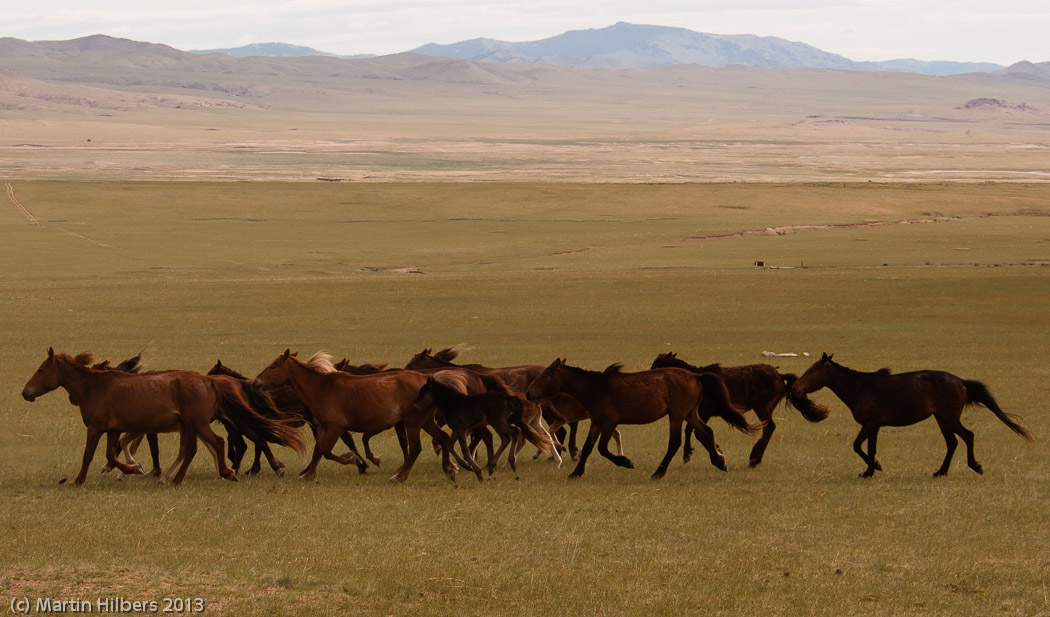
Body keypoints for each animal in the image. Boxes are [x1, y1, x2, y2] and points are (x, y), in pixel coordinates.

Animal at [22, 348, 304, 486]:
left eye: (41, 370)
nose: (26, 392)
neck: (94, 387)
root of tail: (209, 381)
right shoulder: (113, 429)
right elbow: (112, 454)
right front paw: (133, 469)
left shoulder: (96, 428)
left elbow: (90, 455)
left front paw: (78, 480)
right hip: (192, 425)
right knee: (194, 450)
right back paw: (178, 478)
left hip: (198, 423)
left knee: (219, 443)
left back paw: (225, 472)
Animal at [252, 350, 456, 482]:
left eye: (272, 367)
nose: (255, 383)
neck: (322, 388)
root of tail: (427, 380)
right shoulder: (323, 427)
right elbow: (318, 451)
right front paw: (308, 474)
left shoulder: (335, 427)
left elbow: (326, 451)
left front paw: (353, 459)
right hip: (426, 421)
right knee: (443, 437)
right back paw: (449, 468)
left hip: (413, 422)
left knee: (415, 448)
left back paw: (400, 476)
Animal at [525, 359, 761, 479]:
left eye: (545, 376)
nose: (528, 393)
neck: (595, 389)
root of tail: (696, 376)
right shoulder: (596, 422)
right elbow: (589, 447)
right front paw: (576, 472)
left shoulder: (609, 422)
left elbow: (602, 448)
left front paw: (626, 461)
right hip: (690, 413)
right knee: (706, 433)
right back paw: (719, 461)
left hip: (676, 415)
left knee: (675, 442)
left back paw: (659, 472)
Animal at [651, 352, 827, 467]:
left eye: (656, 365)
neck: (696, 378)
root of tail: (779, 375)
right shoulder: (701, 413)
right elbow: (693, 431)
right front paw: (712, 449)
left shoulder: (704, 412)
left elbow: (694, 431)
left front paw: (690, 454)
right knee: (768, 428)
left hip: (761, 408)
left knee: (769, 427)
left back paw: (754, 458)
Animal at [790, 353, 1033, 477]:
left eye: (812, 370)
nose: (795, 388)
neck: (860, 388)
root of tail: (961, 382)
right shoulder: (872, 426)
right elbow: (867, 448)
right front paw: (871, 468)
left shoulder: (870, 424)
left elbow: (860, 447)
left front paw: (872, 469)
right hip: (942, 419)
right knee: (952, 443)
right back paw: (940, 471)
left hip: (949, 418)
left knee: (967, 436)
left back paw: (975, 466)